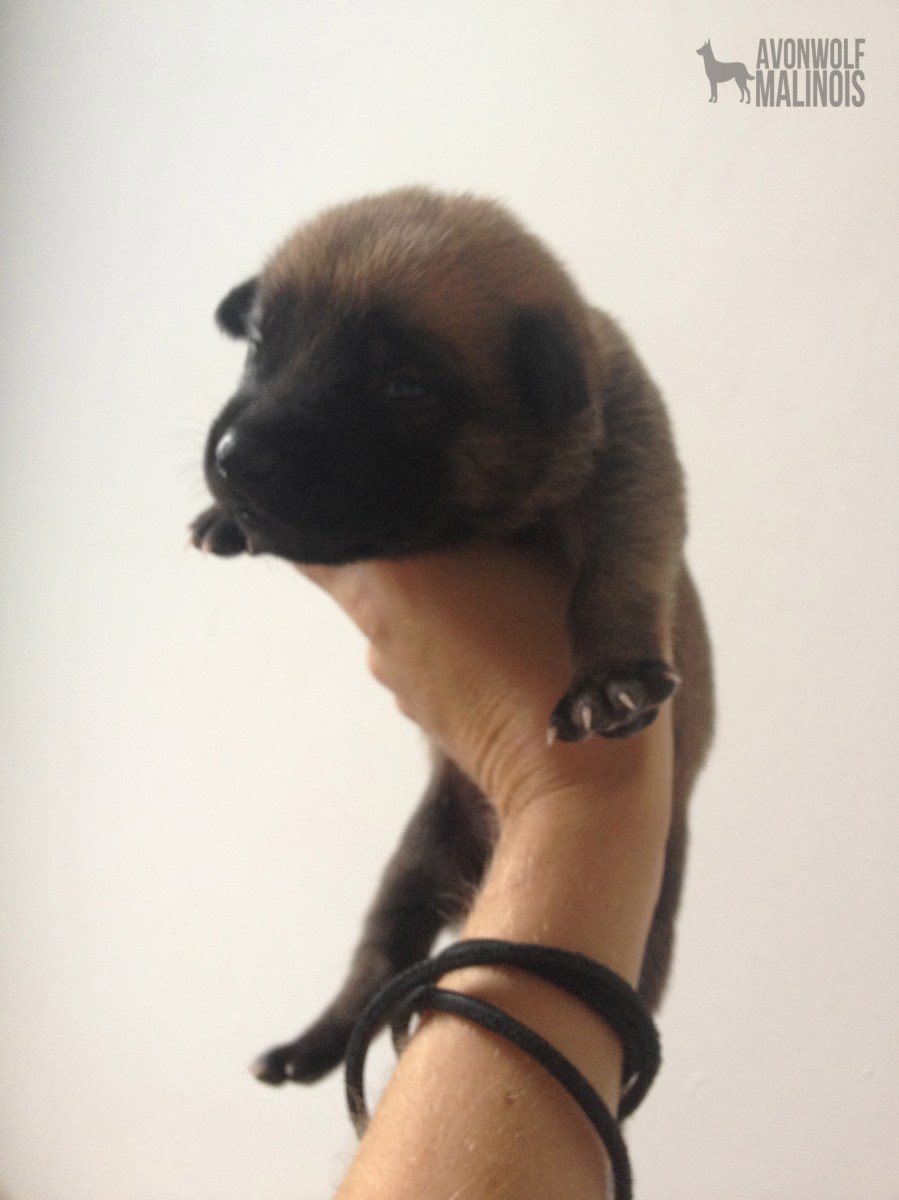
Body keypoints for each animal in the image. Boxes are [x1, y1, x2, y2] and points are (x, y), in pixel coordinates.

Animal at [190, 187, 714, 1085]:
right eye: (259, 345)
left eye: (403, 386)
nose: (233, 456)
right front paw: (220, 517)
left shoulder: (632, 456)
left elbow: (622, 560)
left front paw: (613, 677)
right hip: (412, 863)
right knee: (379, 960)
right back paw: (312, 1045)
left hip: (649, 915)